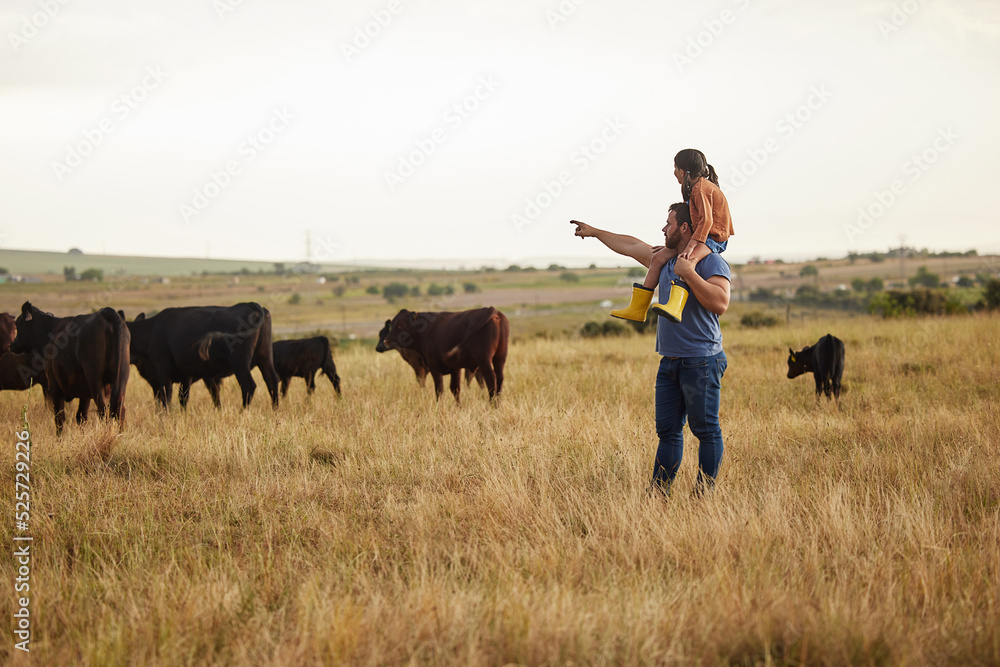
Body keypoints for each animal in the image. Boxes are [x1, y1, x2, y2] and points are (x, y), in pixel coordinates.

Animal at [127, 304, 282, 410]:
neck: (151, 330)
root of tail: (251, 305)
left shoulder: (163, 369)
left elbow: (167, 396)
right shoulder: (186, 374)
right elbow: (184, 397)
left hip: (240, 363)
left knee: (248, 385)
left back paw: (242, 413)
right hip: (265, 357)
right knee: (272, 381)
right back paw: (275, 411)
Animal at [378, 306, 512, 402]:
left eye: (400, 325)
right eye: (392, 325)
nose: (385, 342)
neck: (425, 331)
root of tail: (492, 310)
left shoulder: (432, 367)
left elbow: (439, 390)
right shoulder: (455, 369)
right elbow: (455, 389)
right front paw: (459, 408)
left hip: (484, 360)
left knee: (490, 379)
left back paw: (493, 404)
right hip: (500, 358)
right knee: (499, 378)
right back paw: (498, 403)